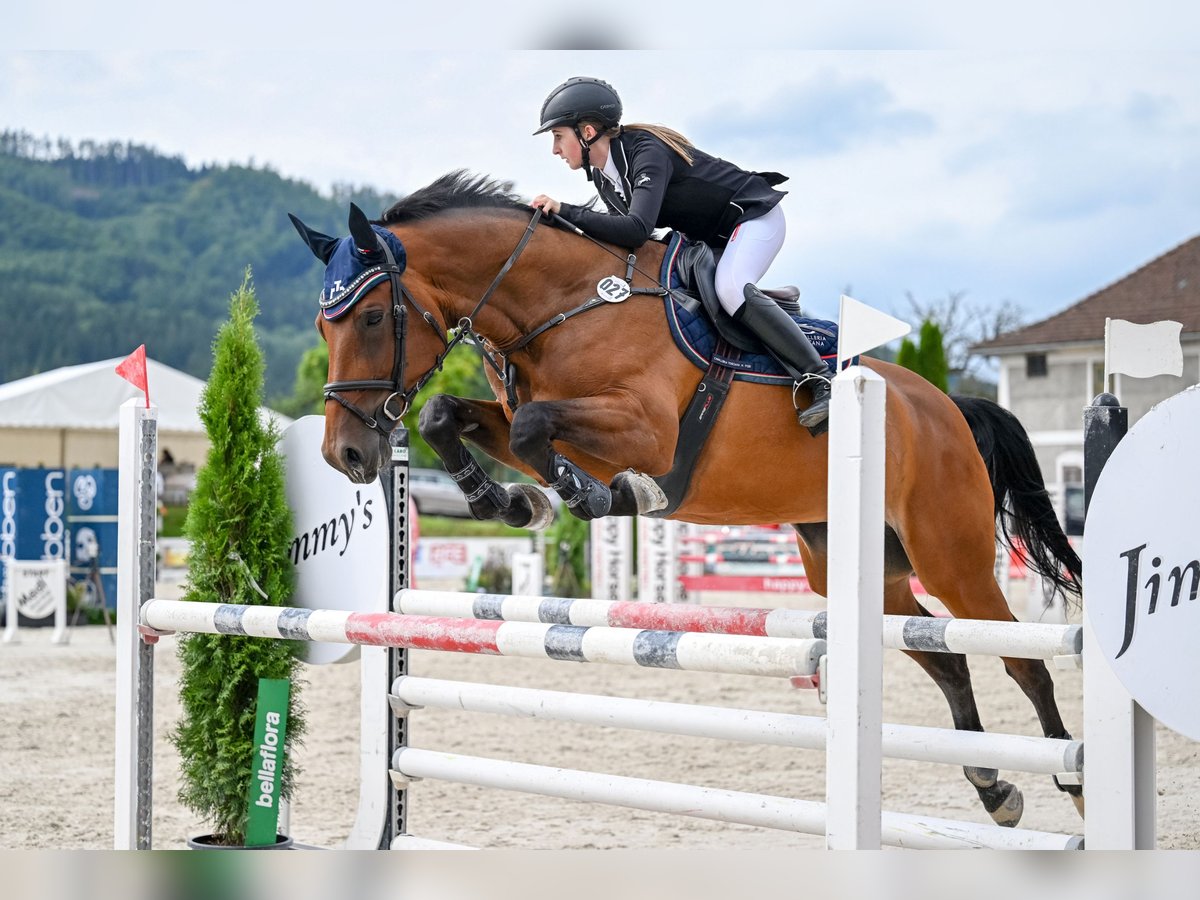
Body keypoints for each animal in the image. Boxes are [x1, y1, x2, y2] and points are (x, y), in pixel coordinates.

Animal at [292, 169, 1089, 830]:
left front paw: (597, 494)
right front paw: (513, 501)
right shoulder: (527, 415)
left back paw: (1071, 781)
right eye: (323, 323)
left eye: (371, 318)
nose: (346, 456)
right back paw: (993, 786)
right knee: (944, 656)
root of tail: (946, 407)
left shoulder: (644, 428)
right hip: (852, 561)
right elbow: (449, 417)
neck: (557, 305)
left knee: (1018, 656)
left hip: (949, 553)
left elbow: (535, 427)